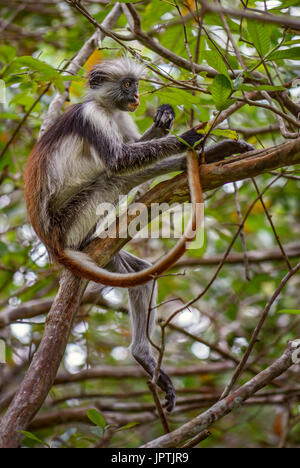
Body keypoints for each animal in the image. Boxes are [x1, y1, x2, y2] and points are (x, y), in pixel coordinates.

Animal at [24, 57, 252, 410]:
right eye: (128, 83)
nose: (136, 95)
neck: (106, 106)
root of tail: (53, 243)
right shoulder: (92, 117)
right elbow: (122, 159)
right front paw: (189, 136)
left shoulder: (119, 116)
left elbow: (134, 148)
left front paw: (165, 118)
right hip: (72, 219)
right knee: (114, 177)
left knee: (141, 273)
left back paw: (142, 353)